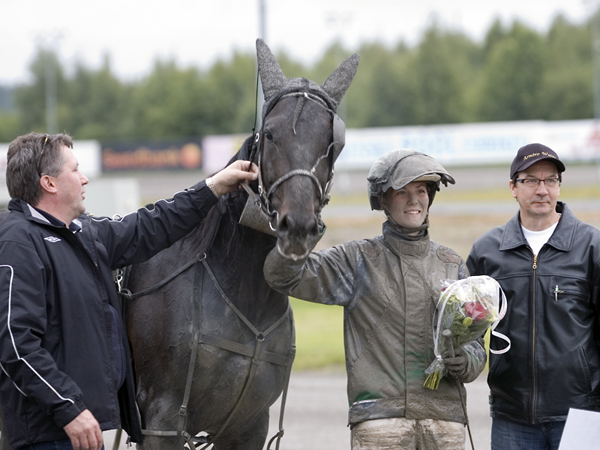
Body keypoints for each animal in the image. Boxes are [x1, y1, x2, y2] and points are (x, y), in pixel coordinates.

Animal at [122, 39, 356, 450]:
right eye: (271, 134)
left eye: (331, 143)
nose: (297, 225)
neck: (244, 293)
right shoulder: (161, 423)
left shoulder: (249, 425)